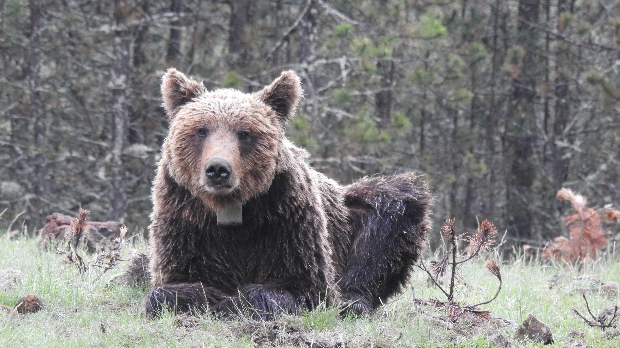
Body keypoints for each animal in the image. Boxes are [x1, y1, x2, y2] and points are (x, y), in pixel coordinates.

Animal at [145, 66, 432, 320]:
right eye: (201, 130)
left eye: (244, 133)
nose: (217, 169)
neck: (230, 209)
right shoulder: (186, 222)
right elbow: (169, 286)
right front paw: (208, 296)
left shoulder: (285, 219)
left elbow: (302, 285)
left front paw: (236, 301)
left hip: (357, 217)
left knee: (389, 217)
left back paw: (354, 301)